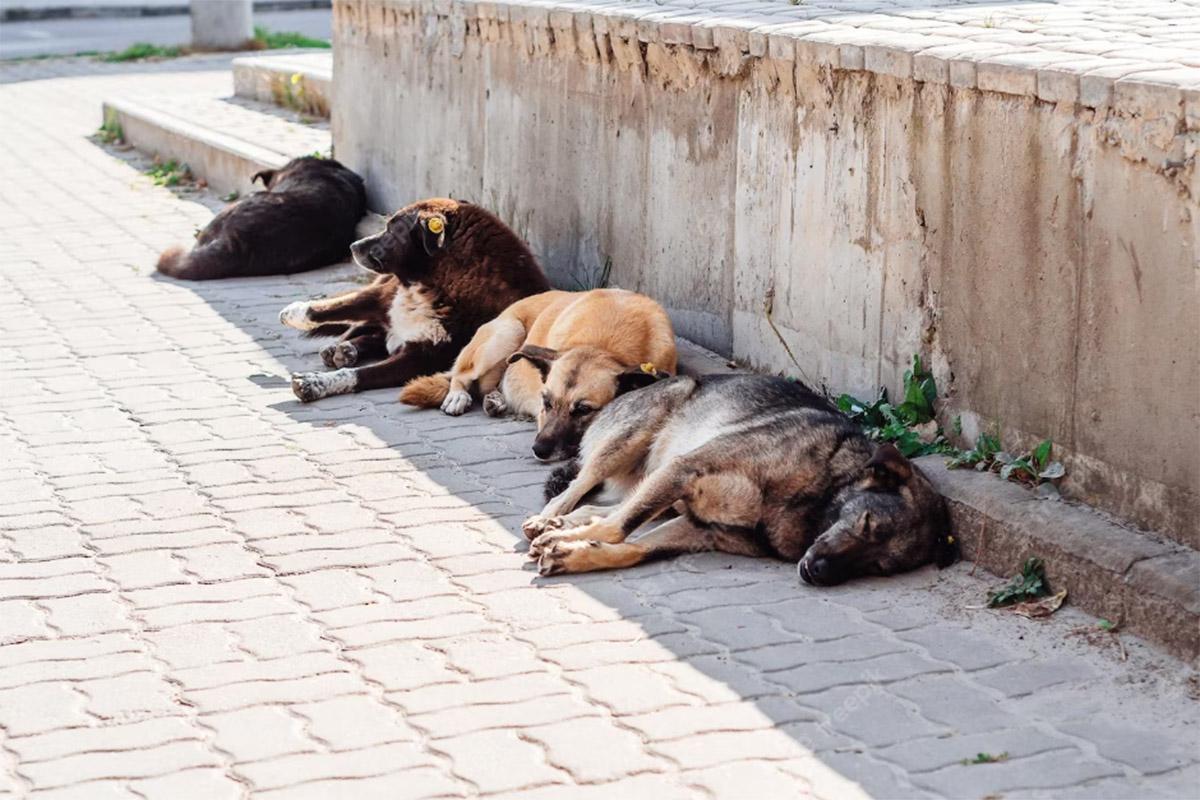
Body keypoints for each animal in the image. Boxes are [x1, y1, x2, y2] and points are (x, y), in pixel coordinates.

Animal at [278, 197, 547, 402]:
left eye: (391, 230)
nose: (353, 245)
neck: (437, 283)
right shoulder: (383, 298)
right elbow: (333, 307)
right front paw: (294, 313)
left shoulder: (422, 359)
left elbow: (359, 374)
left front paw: (316, 383)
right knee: (361, 323)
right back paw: (339, 346)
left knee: (378, 336)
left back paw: (347, 350)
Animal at [396, 289, 672, 460]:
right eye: (546, 402)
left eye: (583, 410)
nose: (538, 449)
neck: (602, 346)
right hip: (508, 332)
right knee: (461, 376)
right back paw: (458, 397)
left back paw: (495, 400)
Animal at [525, 371, 955, 585]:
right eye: (866, 524)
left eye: (879, 566)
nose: (818, 573)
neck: (819, 490)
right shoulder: (684, 470)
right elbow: (619, 530)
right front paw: (567, 542)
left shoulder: (697, 528)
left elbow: (633, 547)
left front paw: (575, 554)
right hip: (635, 435)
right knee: (580, 488)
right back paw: (551, 517)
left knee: (608, 507)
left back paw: (563, 525)